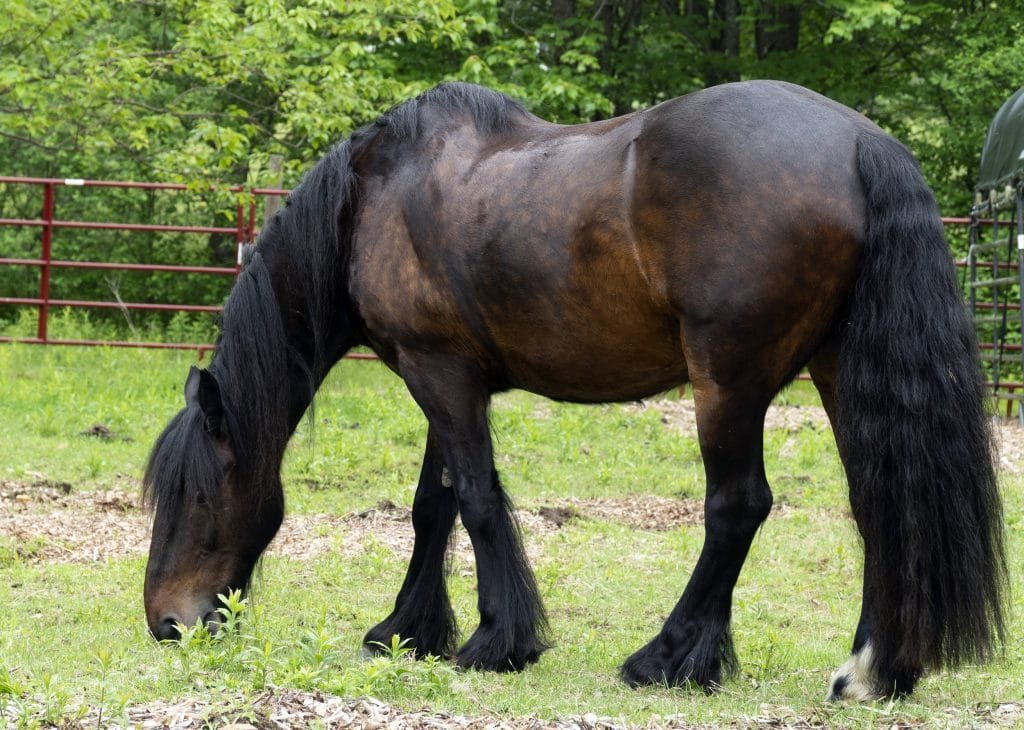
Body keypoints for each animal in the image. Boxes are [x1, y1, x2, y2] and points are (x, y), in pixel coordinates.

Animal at [142, 80, 1006, 700]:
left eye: (197, 496)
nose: (166, 624)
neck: (374, 197)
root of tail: (862, 141)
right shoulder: (445, 376)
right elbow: (434, 504)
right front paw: (407, 631)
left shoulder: (438, 371)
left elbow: (476, 499)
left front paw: (497, 641)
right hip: (834, 367)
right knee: (879, 503)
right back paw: (873, 671)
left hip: (727, 381)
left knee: (738, 508)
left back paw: (668, 658)